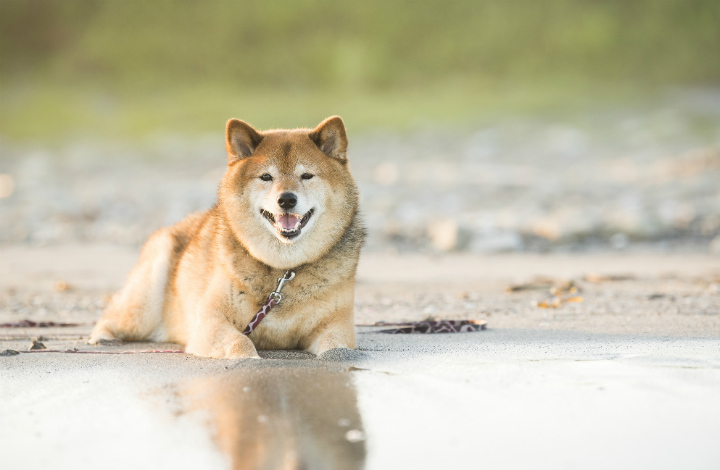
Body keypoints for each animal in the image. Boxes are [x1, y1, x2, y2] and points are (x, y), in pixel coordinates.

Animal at [87, 115, 362, 358]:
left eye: (307, 176)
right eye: (266, 177)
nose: (286, 199)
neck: (282, 270)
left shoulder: (336, 325)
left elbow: (336, 347)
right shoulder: (209, 321)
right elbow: (240, 343)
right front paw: (249, 361)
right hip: (144, 304)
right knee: (113, 315)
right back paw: (102, 338)